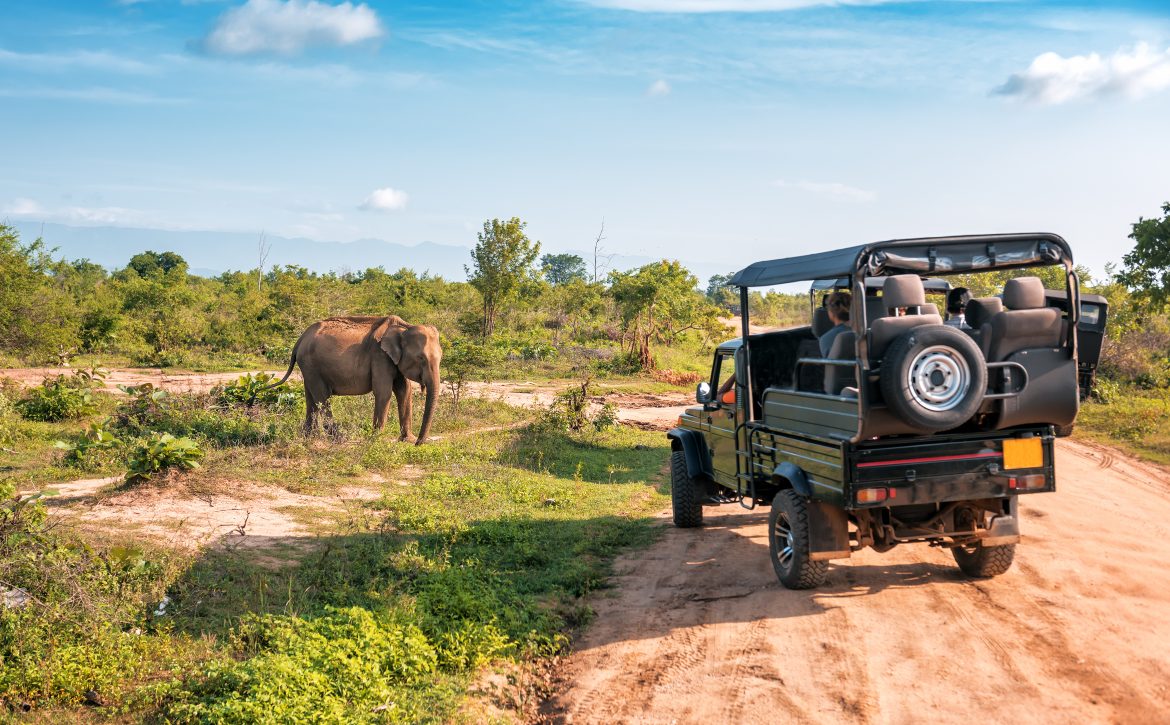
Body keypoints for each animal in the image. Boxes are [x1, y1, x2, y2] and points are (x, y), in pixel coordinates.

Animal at [269, 315, 442, 444]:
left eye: (441, 358)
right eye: (421, 358)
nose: (419, 443)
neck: (404, 327)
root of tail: (300, 339)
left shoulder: (393, 360)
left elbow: (404, 391)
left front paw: (407, 440)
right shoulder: (379, 356)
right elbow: (384, 392)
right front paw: (376, 439)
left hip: (308, 367)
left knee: (311, 398)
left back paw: (309, 438)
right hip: (311, 365)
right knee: (322, 397)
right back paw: (339, 438)